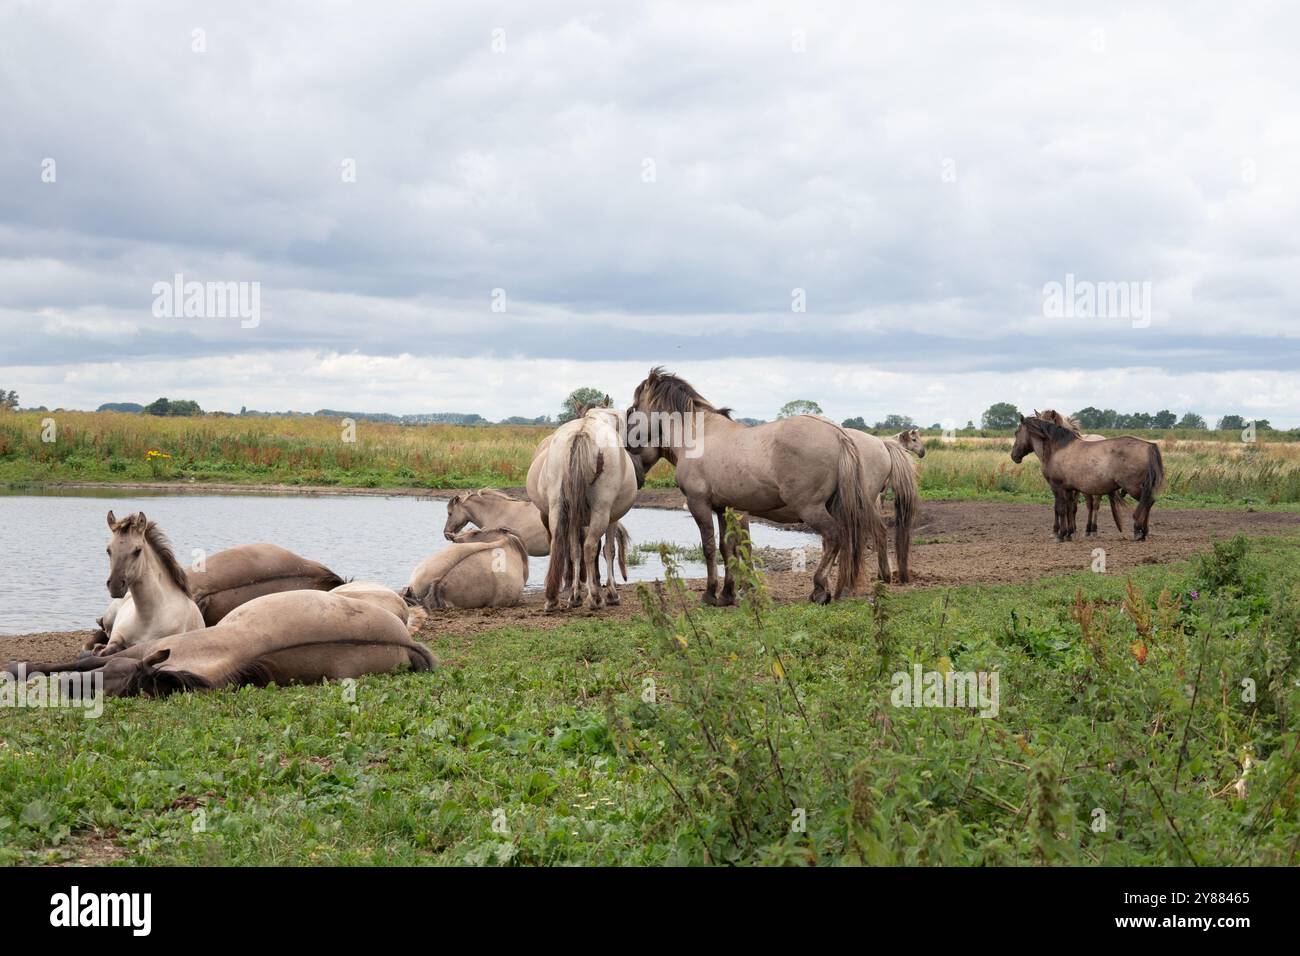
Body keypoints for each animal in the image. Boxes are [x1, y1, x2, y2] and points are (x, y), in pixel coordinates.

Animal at [97, 515, 202, 658]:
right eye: (108, 550)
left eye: (137, 551)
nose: (115, 586)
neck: (146, 619)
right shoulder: (116, 638)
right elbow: (104, 651)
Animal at [530, 405, 637, 613]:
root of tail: (582, 431)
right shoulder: (612, 518)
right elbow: (609, 550)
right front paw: (611, 593)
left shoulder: (575, 519)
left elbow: (574, 550)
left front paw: (576, 594)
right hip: (601, 512)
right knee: (589, 547)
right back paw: (595, 598)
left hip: (558, 508)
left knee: (563, 546)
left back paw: (557, 599)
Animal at [624, 369, 889, 606]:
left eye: (634, 407)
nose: (628, 445)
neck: (698, 436)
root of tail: (838, 434)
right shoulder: (724, 508)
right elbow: (727, 548)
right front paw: (728, 594)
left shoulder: (699, 504)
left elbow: (709, 547)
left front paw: (711, 594)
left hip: (811, 507)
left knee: (835, 536)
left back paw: (820, 590)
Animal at [1003, 416, 1170, 541]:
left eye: (1017, 432)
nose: (1014, 455)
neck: (1057, 448)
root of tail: (1148, 445)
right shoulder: (1069, 489)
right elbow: (1069, 509)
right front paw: (1069, 533)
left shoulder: (1057, 487)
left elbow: (1061, 509)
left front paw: (1061, 535)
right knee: (1149, 502)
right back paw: (1143, 532)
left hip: (1134, 487)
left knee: (1146, 502)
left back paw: (1138, 530)